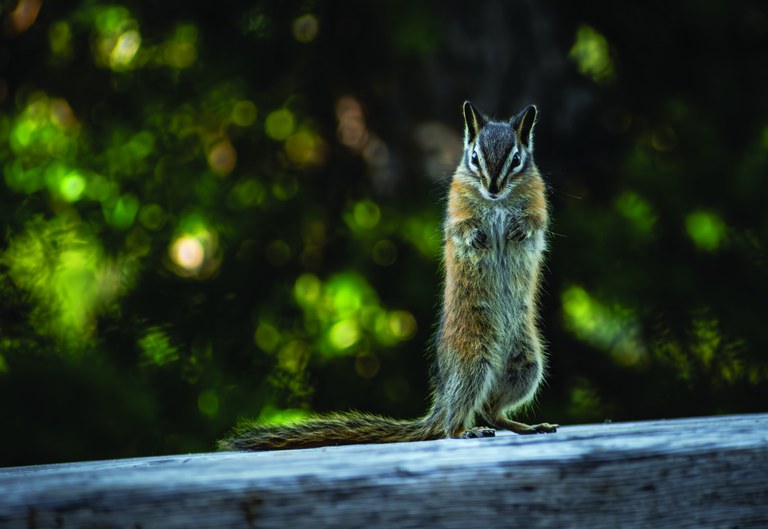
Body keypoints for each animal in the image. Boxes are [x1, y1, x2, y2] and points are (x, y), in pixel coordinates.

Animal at [218, 101, 557, 451]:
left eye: (516, 159)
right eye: (474, 156)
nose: (492, 187)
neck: (498, 201)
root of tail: (442, 401)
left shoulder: (538, 204)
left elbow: (534, 223)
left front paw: (517, 230)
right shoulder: (457, 206)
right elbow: (461, 228)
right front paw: (479, 237)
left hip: (526, 364)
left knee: (491, 410)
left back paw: (526, 426)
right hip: (473, 360)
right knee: (454, 422)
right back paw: (466, 430)